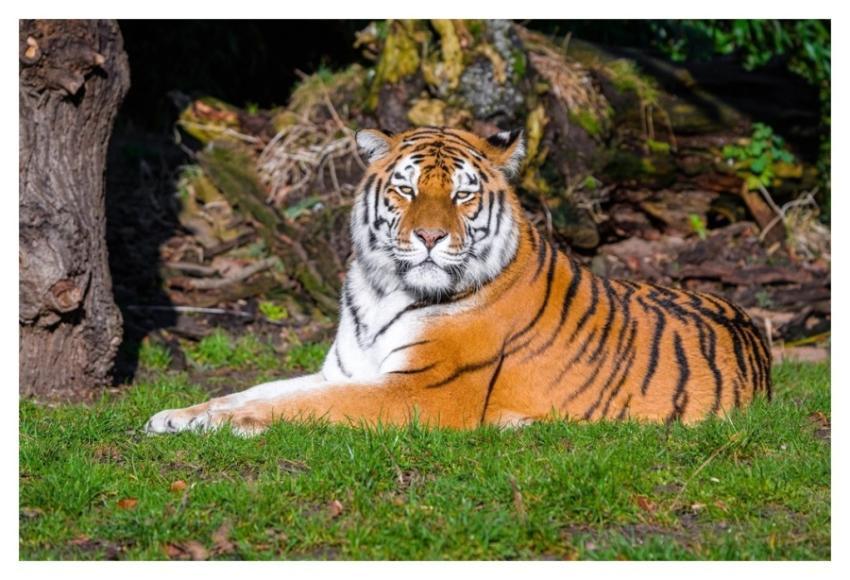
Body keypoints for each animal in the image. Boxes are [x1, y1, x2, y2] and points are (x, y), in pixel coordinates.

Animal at [146, 126, 772, 435]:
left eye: (462, 195)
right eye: (405, 189)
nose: (429, 237)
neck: (382, 289)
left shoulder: (422, 393)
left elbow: (304, 407)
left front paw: (228, 424)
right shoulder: (345, 371)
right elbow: (262, 389)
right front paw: (180, 415)